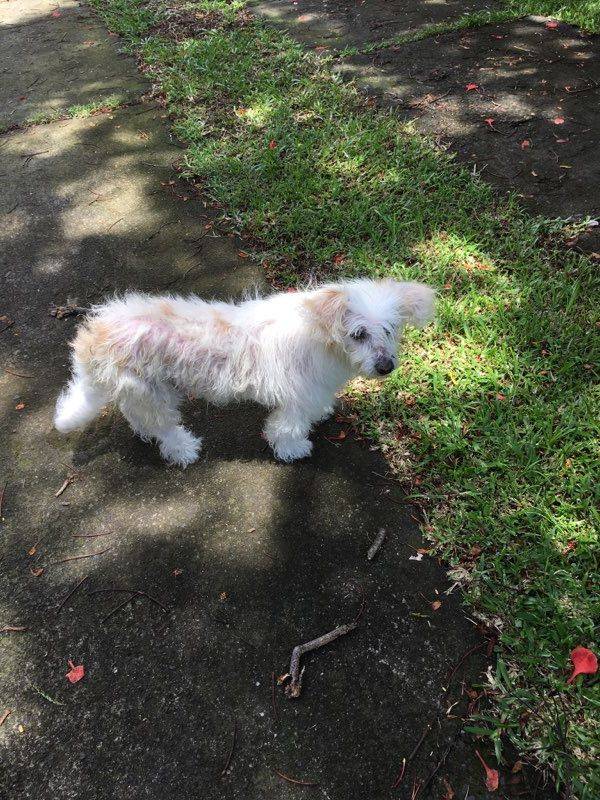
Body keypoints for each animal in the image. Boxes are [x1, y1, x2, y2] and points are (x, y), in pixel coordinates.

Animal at [55, 282, 432, 466]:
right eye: (358, 334)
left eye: (389, 329)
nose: (386, 367)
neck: (319, 335)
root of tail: (95, 334)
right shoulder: (295, 400)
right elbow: (287, 429)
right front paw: (293, 449)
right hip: (151, 393)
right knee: (164, 427)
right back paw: (183, 449)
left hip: (145, 389)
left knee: (138, 416)